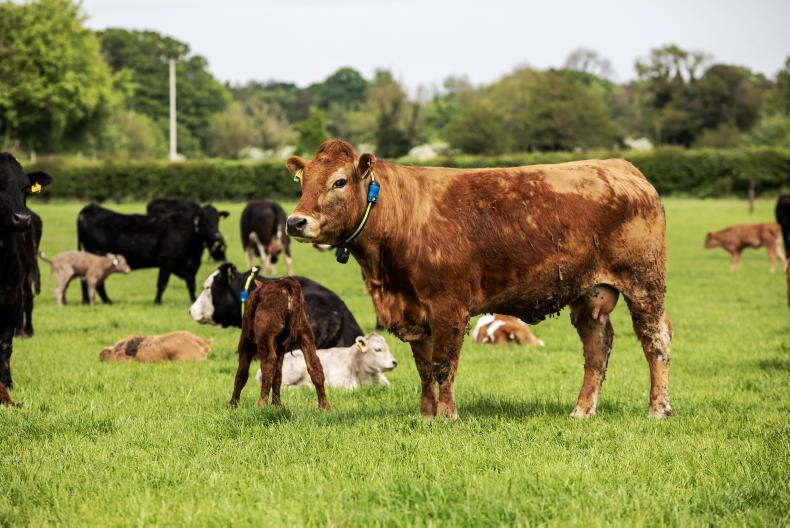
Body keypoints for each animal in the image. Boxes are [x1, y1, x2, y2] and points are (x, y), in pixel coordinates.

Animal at [77, 204, 226, 304]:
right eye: (204, 220)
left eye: (217, 220)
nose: (217, 235)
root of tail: (91, 208)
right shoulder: (167, 261)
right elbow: (162, 284)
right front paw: (157, 302)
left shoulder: (191, 265)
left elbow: (191, 285)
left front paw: (194, 300)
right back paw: (107, 301)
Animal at [229, 277, 330, 410]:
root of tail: (285, 285)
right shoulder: (281, 346)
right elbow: (278, 374)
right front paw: (276, 404)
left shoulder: (246, 342)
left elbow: (242, 373)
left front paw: (232, 404)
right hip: (304, 332)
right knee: (314, 365)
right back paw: (324, 406)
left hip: (265, 335)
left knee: (268, 364)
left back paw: (261, 404)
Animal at [285, 139, 672, 420]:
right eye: (301, 182)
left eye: (339, 181)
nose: (295, 222)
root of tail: (620, 166)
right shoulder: (414, 310)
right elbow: (424, 367)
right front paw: (426, 413)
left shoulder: (448, 307)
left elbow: (443, 365)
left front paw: (447, 415)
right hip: (590, 293)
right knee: (597, 347)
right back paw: (582, 411)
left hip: (644, 285)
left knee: (656, 340)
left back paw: (658, 409)